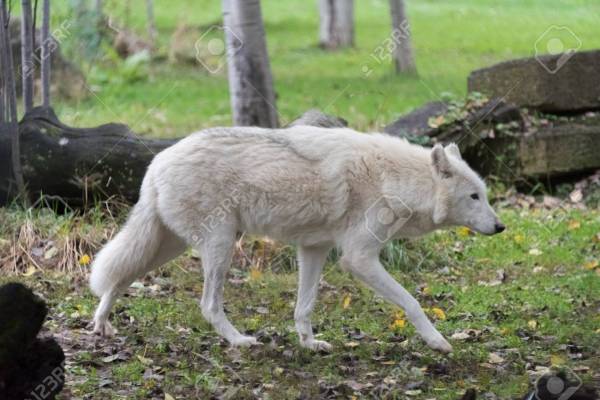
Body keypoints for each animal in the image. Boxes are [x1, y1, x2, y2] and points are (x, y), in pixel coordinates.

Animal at [90, 126, 505, 353]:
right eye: (474, 197)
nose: (501, 227)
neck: (396, 179)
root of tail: (156, 162)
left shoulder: (314, 249)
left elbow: (303, 307)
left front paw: (308, 344)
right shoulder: (358, 258)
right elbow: (413, 302)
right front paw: (437, 341)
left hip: (168, 245)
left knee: (118, 275)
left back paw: (101, 324)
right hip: (219, 247)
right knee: (207, 305)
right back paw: (239, 341)